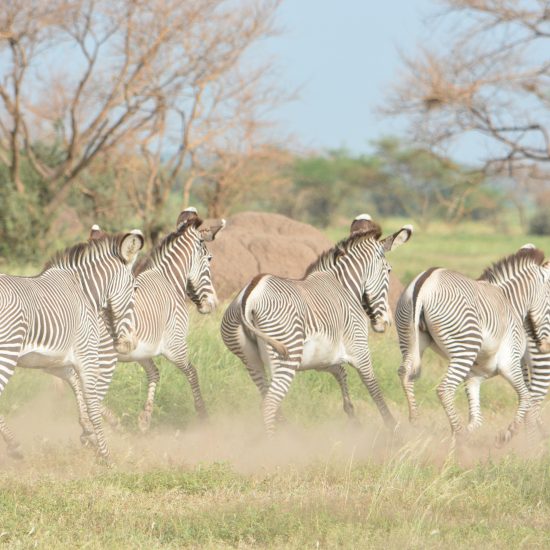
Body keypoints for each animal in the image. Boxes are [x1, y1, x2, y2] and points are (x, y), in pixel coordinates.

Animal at [0, 231, 144, 460]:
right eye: (135, 288)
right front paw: (105, 455)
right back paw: (14, 444)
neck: (84, 292)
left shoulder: (53, 361)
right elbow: (92, 402)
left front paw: (88, 432)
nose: (131, 343)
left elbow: (76, 385)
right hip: (6, 353)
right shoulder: (87, 356)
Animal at [57, 208, 224, 436]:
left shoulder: (141, 351)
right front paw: (203, 415)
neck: (169, 281)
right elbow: (192, 372)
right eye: (209, 258)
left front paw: (145, 419)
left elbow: (154, 374)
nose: (213, 305)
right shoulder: (175, 345)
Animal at [220, 217, 414, 436]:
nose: (386, 323)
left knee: (268, 400)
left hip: (250, 360)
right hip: (285, 356)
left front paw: (352, 417)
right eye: (389, 270)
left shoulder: (323, 357)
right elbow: (374, 388)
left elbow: (341, 373)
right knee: (269, 404)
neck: (344, 286)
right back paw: (275, 442)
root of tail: (249, 296)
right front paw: (393, 427)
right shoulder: (359, 349)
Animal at [396, 247, 550, 444]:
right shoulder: (510, 363)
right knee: (444, 389)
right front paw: (508, 434)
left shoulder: (474, 375)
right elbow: (526, 397)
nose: (545, 347)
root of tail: (425, 283)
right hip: (465, 348)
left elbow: (477, 419)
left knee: (405, 373)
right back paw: (458, 434)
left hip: (409, 338)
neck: (510, 302)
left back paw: (416, 421)